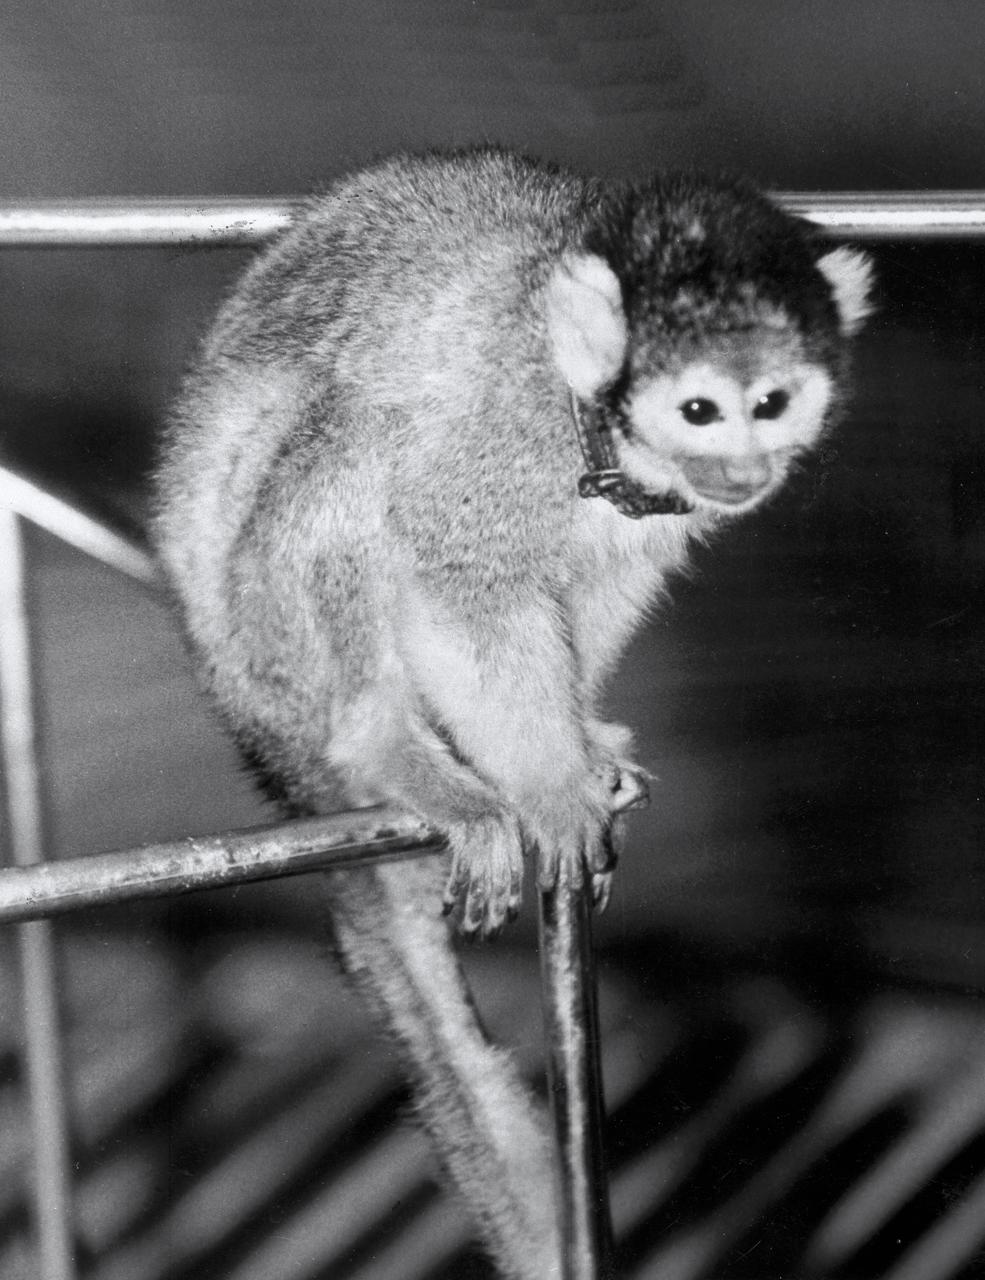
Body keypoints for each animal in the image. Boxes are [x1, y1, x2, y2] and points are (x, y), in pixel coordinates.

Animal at [152, 146, 873, 1279]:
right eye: (701, 411)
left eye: (771, 401)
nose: (743, 470)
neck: (594, 423)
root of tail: (257, 733)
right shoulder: (504, 433)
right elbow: (458, 581)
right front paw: (548, 782)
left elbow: (601, 582)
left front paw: (581, 741)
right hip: (266, 647)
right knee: (355, 439)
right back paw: (386, 746)